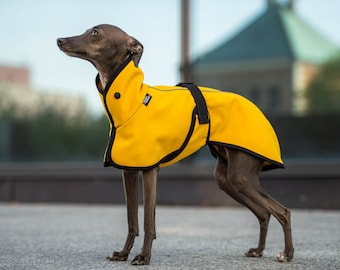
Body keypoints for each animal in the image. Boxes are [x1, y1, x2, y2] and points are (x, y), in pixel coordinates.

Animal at [57, 24, 294, 264]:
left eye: (95, 32)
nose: (60, 40)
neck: (130, 100)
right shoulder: (129, 172)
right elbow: (132, 220)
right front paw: (124, 253)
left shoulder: (150, 170)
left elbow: (147, 220)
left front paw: (144, 257)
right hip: (227, 179)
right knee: (264, 213)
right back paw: (258, 250)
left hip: (241, 176)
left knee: (282, 211)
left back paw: (288, 253)